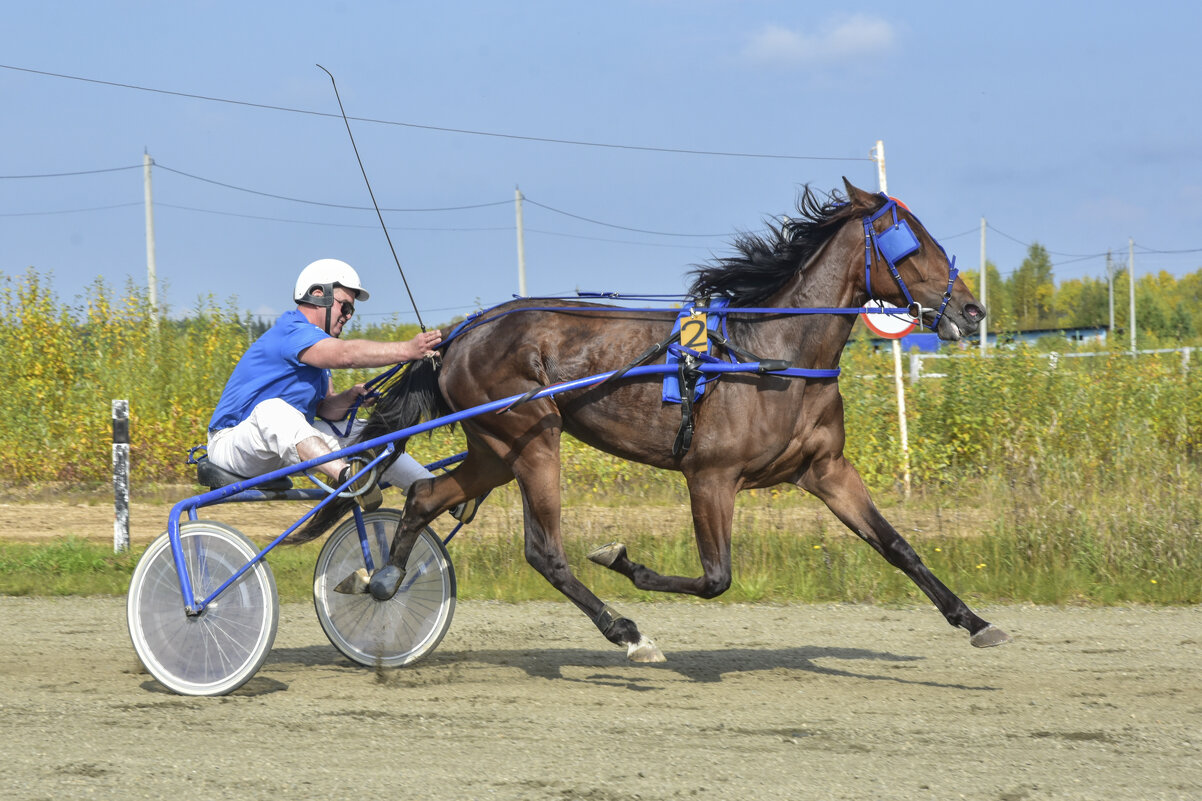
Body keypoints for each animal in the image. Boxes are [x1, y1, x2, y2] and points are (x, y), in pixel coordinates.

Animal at [298, 178, 1004, 659]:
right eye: (910, 242)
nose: (973, 311)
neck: (771, 355)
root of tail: (461, 333)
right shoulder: (710, 476)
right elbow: (717, 578)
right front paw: (621, 560)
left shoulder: (827, 469)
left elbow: (897, 545)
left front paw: (974, 621)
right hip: (531, 438)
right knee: (543, 550)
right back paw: (626, 630)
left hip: (495, 450)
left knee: (423, 496)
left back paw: (383, 577)